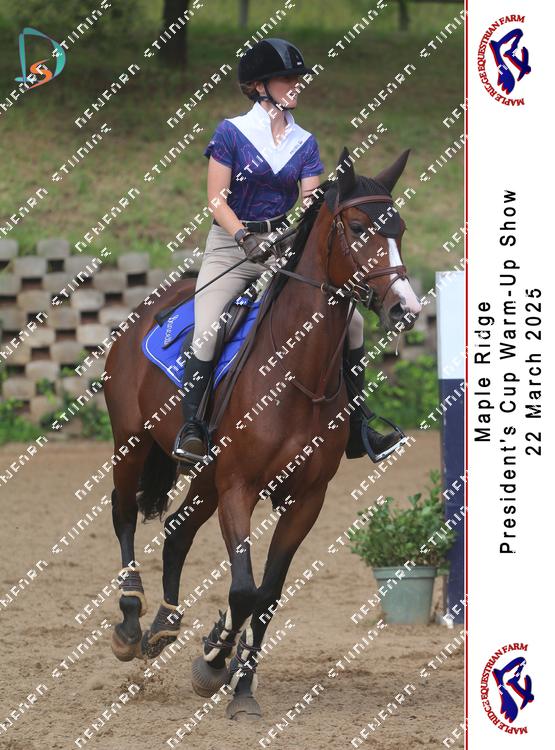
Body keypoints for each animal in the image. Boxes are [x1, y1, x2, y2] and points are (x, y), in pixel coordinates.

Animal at [103, 146, 422, 720]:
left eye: (400, 230)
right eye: (358, 227)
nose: (404, 308)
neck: (296, 372)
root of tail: (144, 310)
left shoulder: (305, 498)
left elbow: (267, 594)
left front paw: (239, 684)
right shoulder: (239, 488)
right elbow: (244, 590)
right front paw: (213, 663)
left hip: (203, 475)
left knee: (177, 533)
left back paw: (165, 624)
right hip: (131, 444)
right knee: (123, 516)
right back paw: (132, 621)